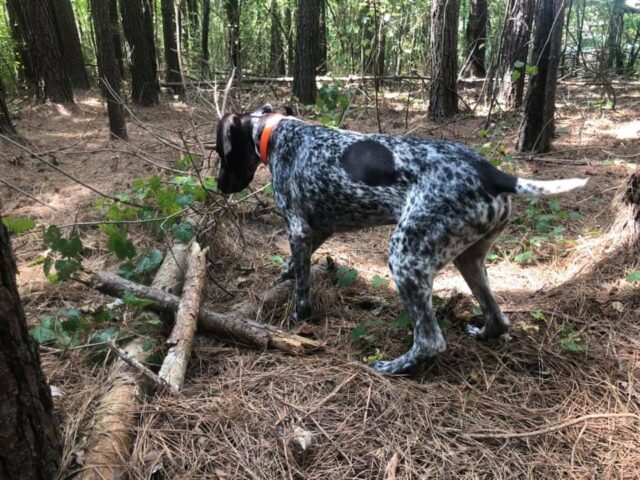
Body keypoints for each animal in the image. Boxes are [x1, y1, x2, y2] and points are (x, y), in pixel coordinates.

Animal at [216, 107, 592, 374]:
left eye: (221, 152)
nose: (220, 186)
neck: (277, 133)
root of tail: (494, 174)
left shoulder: (298, 229)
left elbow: (302, 288)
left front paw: (296, 317)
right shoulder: (318, 230)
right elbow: (293, 266)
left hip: (405, 256)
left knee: (430, 341)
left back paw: (393, 366)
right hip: (468, 260)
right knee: (499, 320)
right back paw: (483, 333)